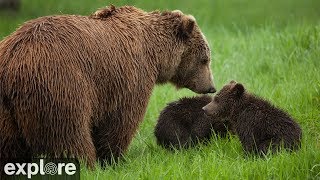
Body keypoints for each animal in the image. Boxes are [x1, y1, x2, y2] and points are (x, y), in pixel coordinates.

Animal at [0, 4, 216, 168]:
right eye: (205, 59)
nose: (211, 87)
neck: (155, 54)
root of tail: (13, 60)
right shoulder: (129, 76)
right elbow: (121, 120)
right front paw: (112, 158)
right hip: (59, 84)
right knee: (68, 132)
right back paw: (86, 163)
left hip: (6, 109)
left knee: (9, 144)